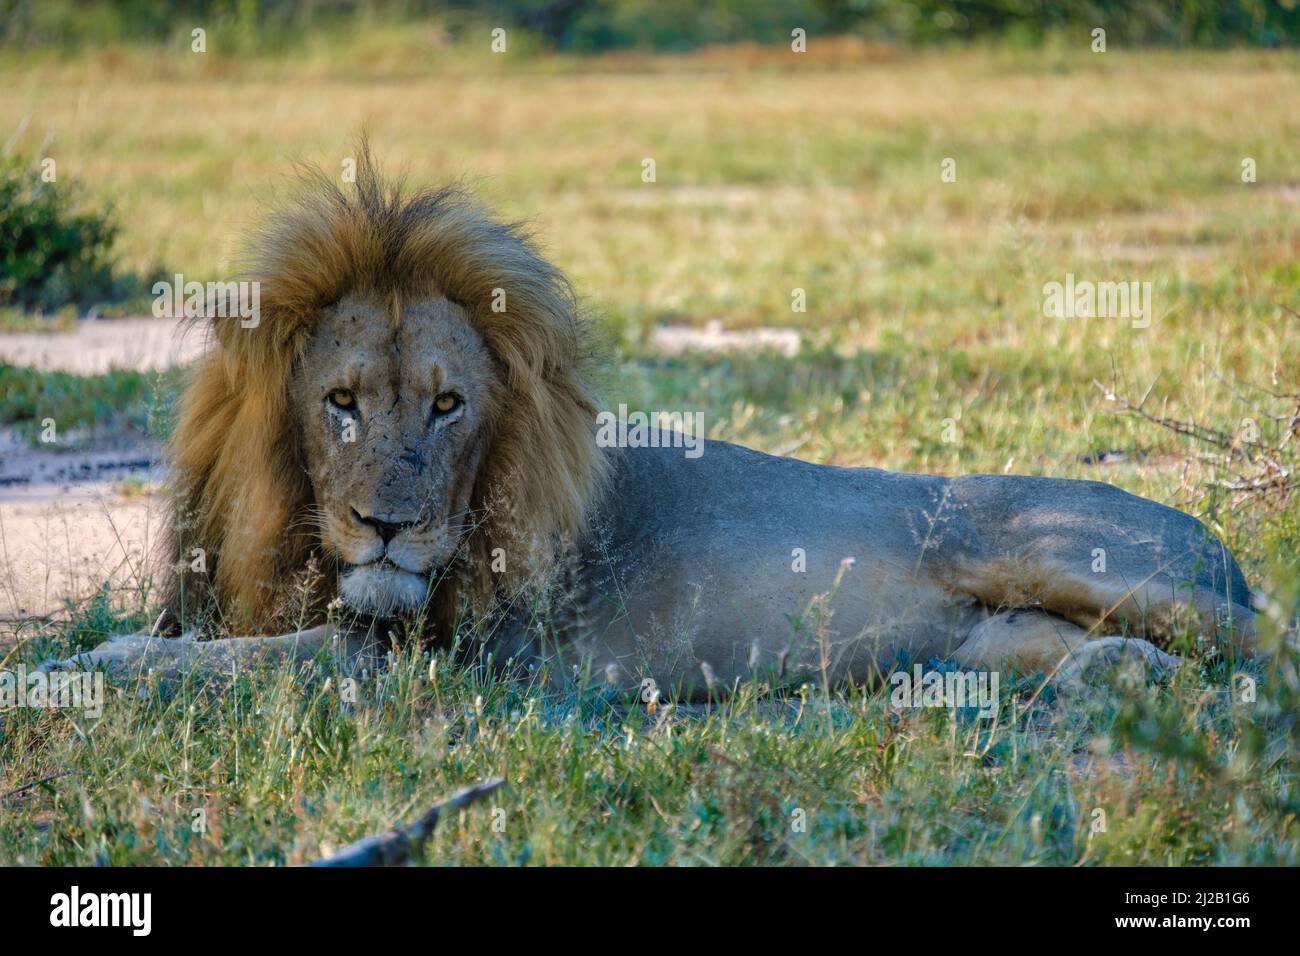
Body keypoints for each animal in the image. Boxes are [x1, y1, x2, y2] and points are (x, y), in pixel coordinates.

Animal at [43, 151, 1268, 702]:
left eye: (448, 404)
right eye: (340, 403)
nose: (388, 526)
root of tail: (1219, 544)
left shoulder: (443, 659)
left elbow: (229, 664)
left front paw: (77, 667)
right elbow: (206, 647)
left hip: (1057, 551)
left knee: (1270, 639)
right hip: (1002, 636)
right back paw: (1105, 679)